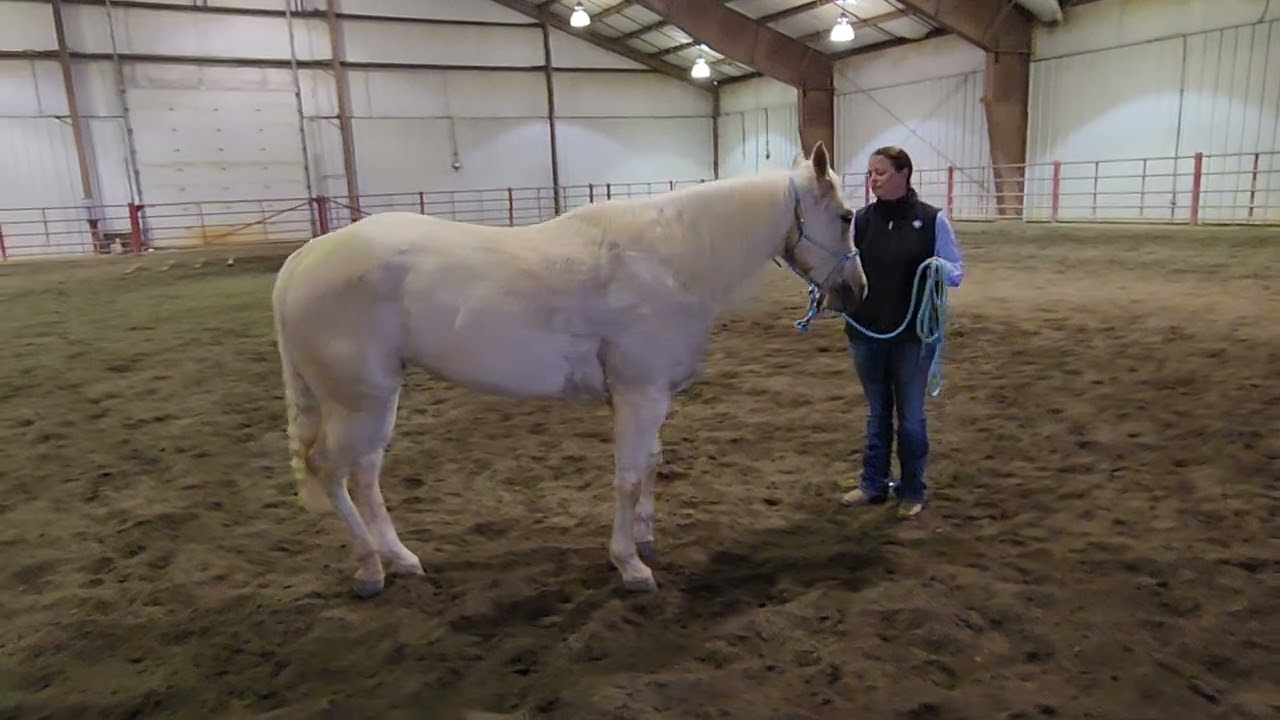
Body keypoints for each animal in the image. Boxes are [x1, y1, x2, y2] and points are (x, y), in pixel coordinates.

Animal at [270, 142, 867, 598]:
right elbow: (629, 477)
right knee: (330, 470)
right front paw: (630, 565)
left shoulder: (650, 397)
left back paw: (401, 558)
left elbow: (652, 464)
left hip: (376, 403)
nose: (857, 290)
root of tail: (303, 259)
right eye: (845, 217)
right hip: (358, 402)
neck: (669, 258)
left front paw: (644, 539)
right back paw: (370, 568)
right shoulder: (640, 395)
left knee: (364, 476)